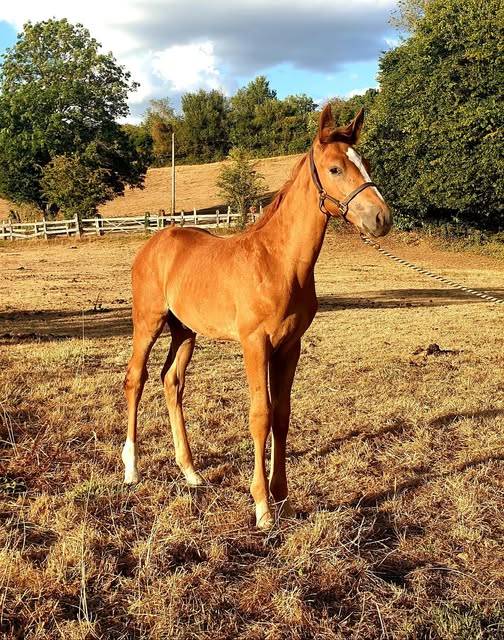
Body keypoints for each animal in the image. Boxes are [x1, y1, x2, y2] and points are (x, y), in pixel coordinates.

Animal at [122, 104, 392, 529]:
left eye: (364, 162)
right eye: (335, 168)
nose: (382, 219)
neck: (278, 262)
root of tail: (156, 241)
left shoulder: (289, 346)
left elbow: (282, 414)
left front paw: (283, 498)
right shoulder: (255, 344)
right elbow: (260, 415)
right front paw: (262, 506)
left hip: (185, 331)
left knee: (172, 382)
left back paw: (191, 472)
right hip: (147, 322)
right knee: (136, 379)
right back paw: (132, 469)